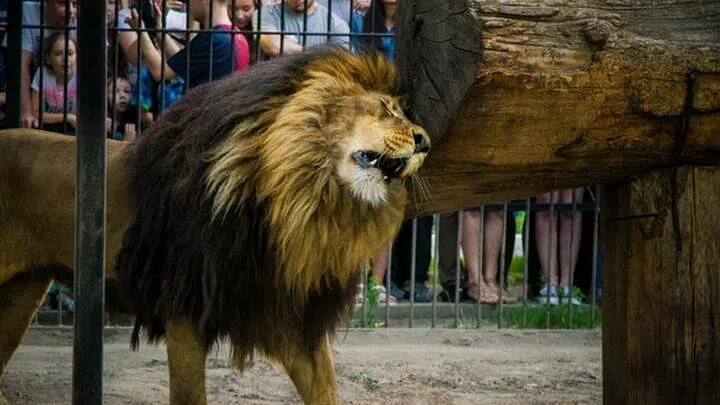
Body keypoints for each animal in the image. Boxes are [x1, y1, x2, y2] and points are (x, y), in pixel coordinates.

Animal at [0, 48, 428, 404]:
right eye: (387, 108)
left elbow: (325, 390)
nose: (424, 141)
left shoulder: (283, 313)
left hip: (24, 290)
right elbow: (191, 396)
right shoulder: (185, 308)